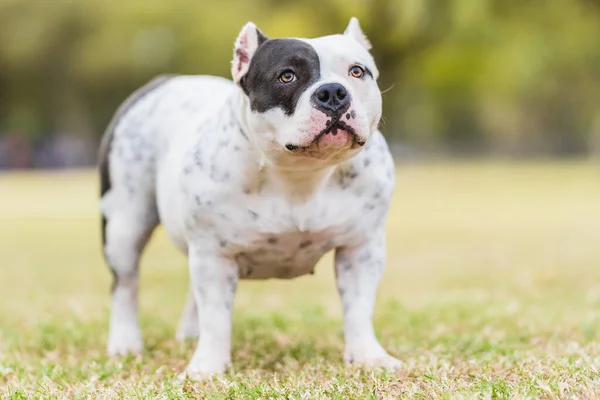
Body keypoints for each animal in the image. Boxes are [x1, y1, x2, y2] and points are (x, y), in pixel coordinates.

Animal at [98, 17, 398, 378]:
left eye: (357, 71)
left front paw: (369, 357)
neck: (301, 173)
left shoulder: (360, 249)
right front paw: (207, 368)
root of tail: (164, 82)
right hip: (124, 224)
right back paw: (125, 343)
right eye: (287, 76)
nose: (333, 93)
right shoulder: (214, 254)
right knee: (125, 284)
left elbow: (358, 310)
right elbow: (216, 317)